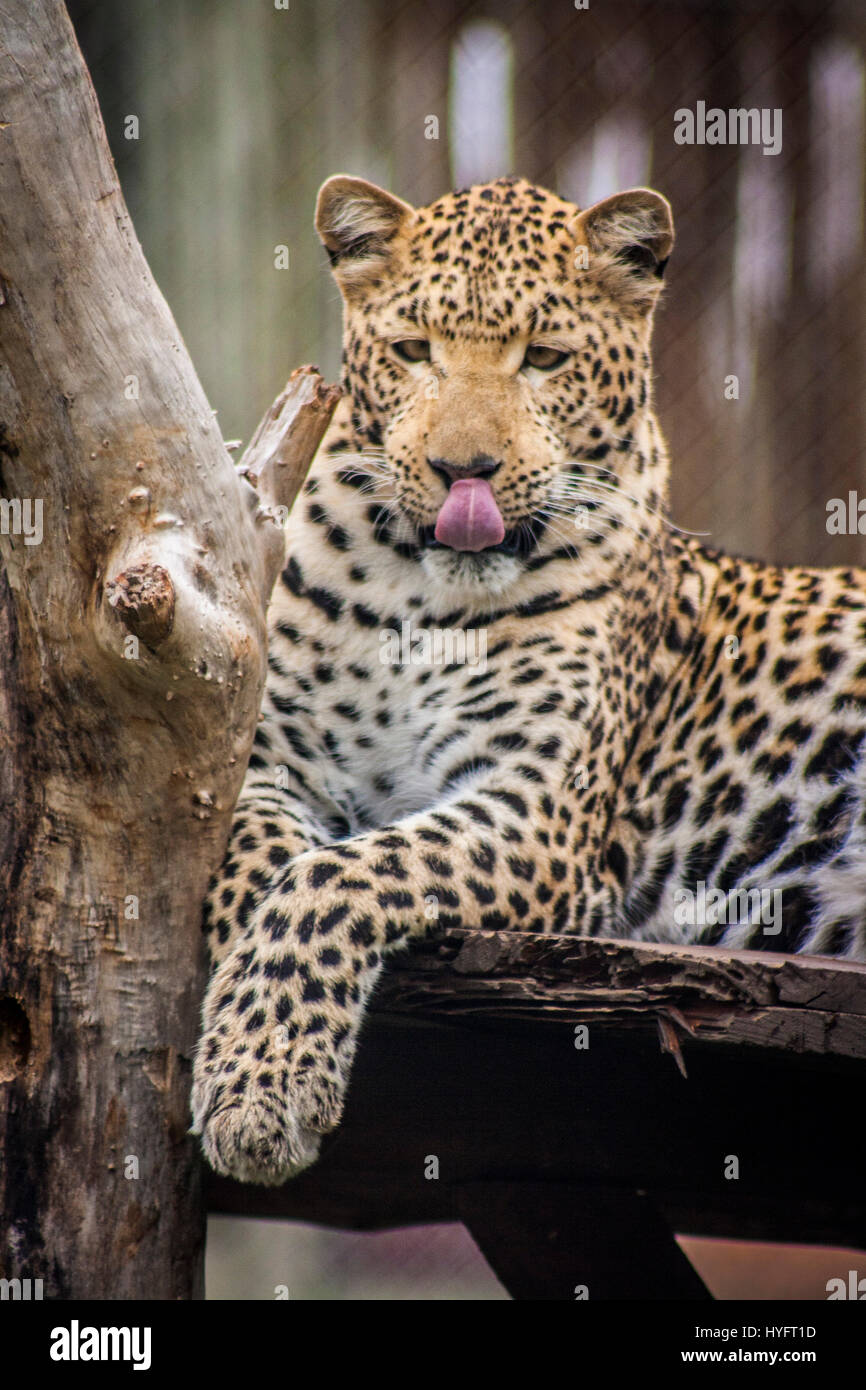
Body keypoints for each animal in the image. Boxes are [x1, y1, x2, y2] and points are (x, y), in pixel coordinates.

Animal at [193, 170, 866, 1184]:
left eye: (544, 358)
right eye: (414, 350)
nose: (462, 471)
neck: (417, 601)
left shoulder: (536, 803)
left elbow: (339, 875)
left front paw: (263, 1083)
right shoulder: (269, 760)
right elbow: (264, 857)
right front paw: (249, 1028)